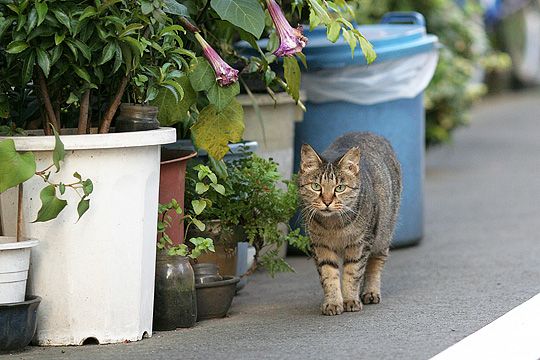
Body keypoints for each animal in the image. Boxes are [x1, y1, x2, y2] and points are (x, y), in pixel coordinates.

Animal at [298, 132, 402, 316]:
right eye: (316, 186)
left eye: (340, 188)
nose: (326, 202)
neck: (333, 225)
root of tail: (370, 133)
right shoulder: (320, 246)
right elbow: (329, 274)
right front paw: (333, 302)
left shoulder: (360, 244)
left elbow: (352, 272)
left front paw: (350, 300)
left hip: (383, 234)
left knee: (375, 263)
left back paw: (370, 292)